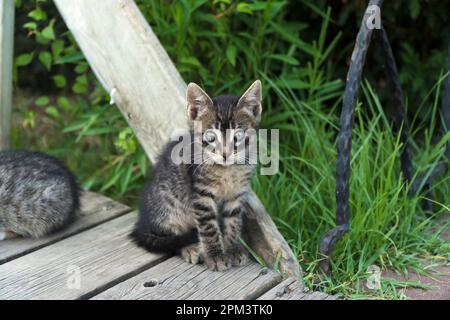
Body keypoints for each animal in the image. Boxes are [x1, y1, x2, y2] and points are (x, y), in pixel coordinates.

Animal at [130, 79, 262, 270]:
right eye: (211, 137)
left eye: (237, 137)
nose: (225, 154)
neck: (227, 169)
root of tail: (142, 225)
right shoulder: (201, 196)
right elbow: (209, 228)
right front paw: (216, 256)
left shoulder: (237, 195)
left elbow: (233, 223)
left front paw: (232, 249)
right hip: (168, 208)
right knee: (172, 240)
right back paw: (191, 248)